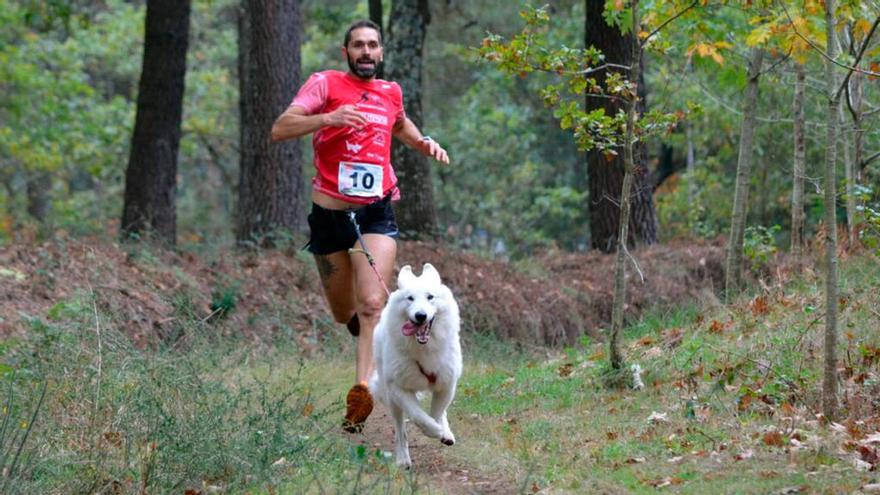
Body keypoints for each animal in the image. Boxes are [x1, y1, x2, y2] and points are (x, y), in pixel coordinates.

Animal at [372, 264, 464, 468]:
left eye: (430, 297)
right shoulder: (399, 387)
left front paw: (442, 431)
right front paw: (434, 431)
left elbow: (437, 412)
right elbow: (418, 415)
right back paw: (403, 460)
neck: (424, 348)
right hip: (391, 398)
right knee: (400, 430)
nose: (420, 316)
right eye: (410, 298)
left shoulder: (447, 384)